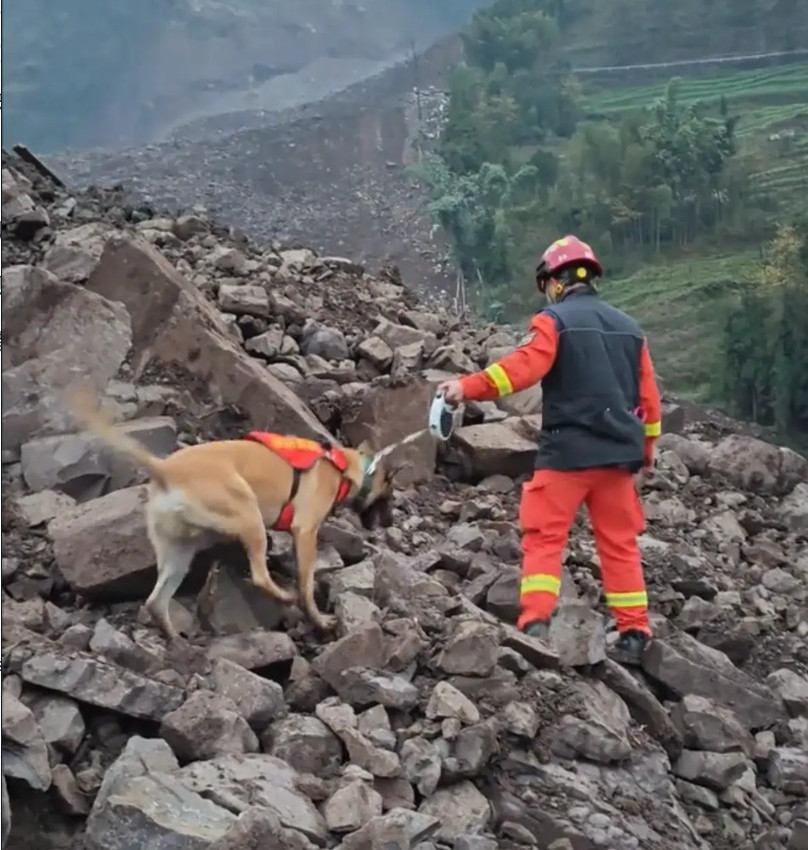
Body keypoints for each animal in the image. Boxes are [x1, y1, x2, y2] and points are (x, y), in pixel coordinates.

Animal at [68, 388, 394, 640]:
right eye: (389, 490)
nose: (390, 522)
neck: (344, 467)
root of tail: (165, 469)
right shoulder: (305, 531)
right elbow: (306, 582)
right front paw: (318, 618)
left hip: (179, 551)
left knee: (156, 602)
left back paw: (177, 643)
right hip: (248, 515)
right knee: (260, 575)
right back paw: (283, 595)